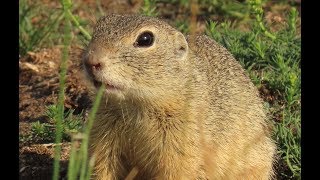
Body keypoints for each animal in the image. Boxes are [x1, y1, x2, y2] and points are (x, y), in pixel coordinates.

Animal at [82, 14, 276, 180]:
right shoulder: (104, 131)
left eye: (146, 39)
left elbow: (176, 169)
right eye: (99, 25)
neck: (135, 105)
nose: (91, 61)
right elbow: (103, 164)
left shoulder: (182, 140)